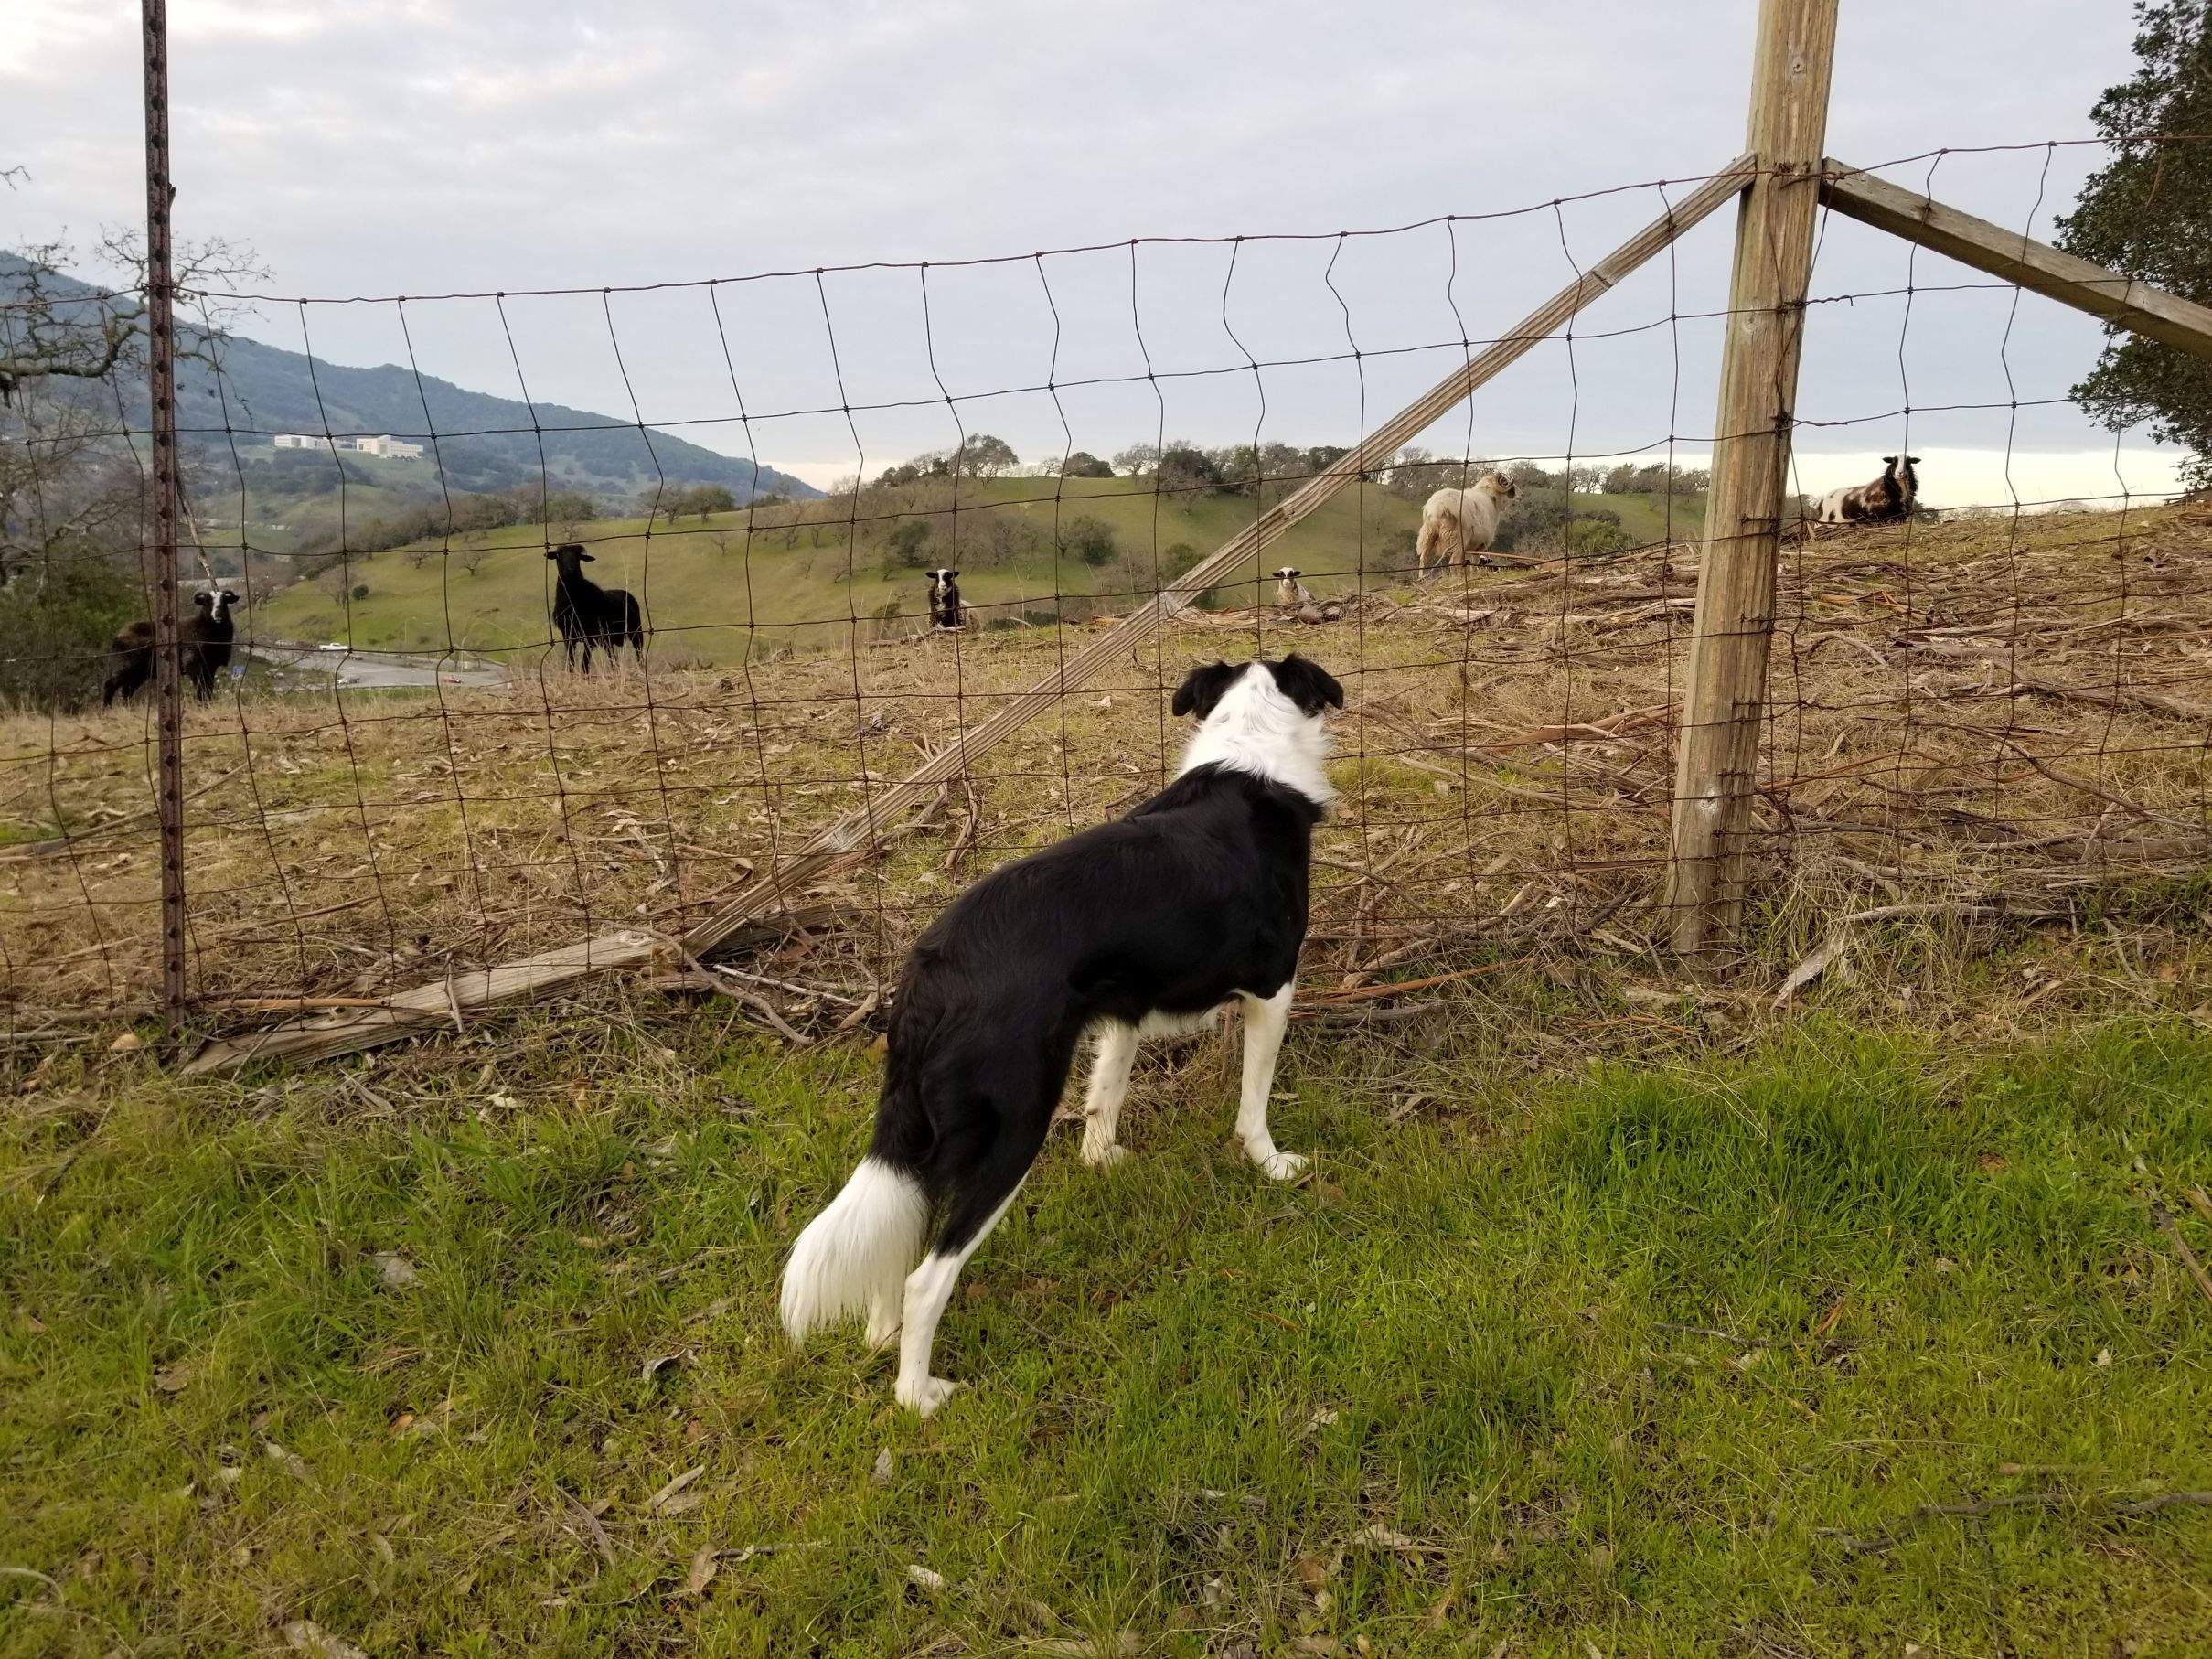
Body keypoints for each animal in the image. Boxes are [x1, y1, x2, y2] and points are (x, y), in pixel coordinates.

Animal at [546, 544, 645, 670]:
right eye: (559, 556)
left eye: (578, 556)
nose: (570, 570)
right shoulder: (568, 636)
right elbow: (571, 664)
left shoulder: (590, 638)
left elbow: (584, 664)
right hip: (609, 640)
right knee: (614, 660)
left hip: (636, 633)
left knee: (637, 655)